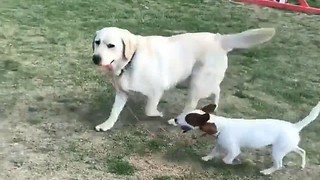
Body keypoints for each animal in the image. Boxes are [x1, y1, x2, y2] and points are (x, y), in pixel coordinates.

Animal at [90, 26, 276, 131]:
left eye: (111, 45)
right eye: (97, 42)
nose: (95, 58)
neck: (131, 60)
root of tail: (219, 38)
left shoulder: (156, 90)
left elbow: (149, 109)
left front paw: (158, 114)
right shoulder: (122, 92)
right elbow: (114, 111)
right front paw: (106, 125)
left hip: (196, 83)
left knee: (192, 104)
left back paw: (177, 120)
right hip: (193, 80)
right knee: (216, 90)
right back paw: (214, 105)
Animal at [168, 102, 320, 175]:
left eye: (188, 118)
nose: (175, 119)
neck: (220, 126)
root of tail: (295, 126)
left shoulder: (234, 150)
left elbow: (226, 159)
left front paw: (236, 162)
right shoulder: (220, 143)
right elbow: (213, 152)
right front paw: (206, 158)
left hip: (277, 151)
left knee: (279, 165)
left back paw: (267, 172)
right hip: (288, 147)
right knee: (302, 151)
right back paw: (302, 164)